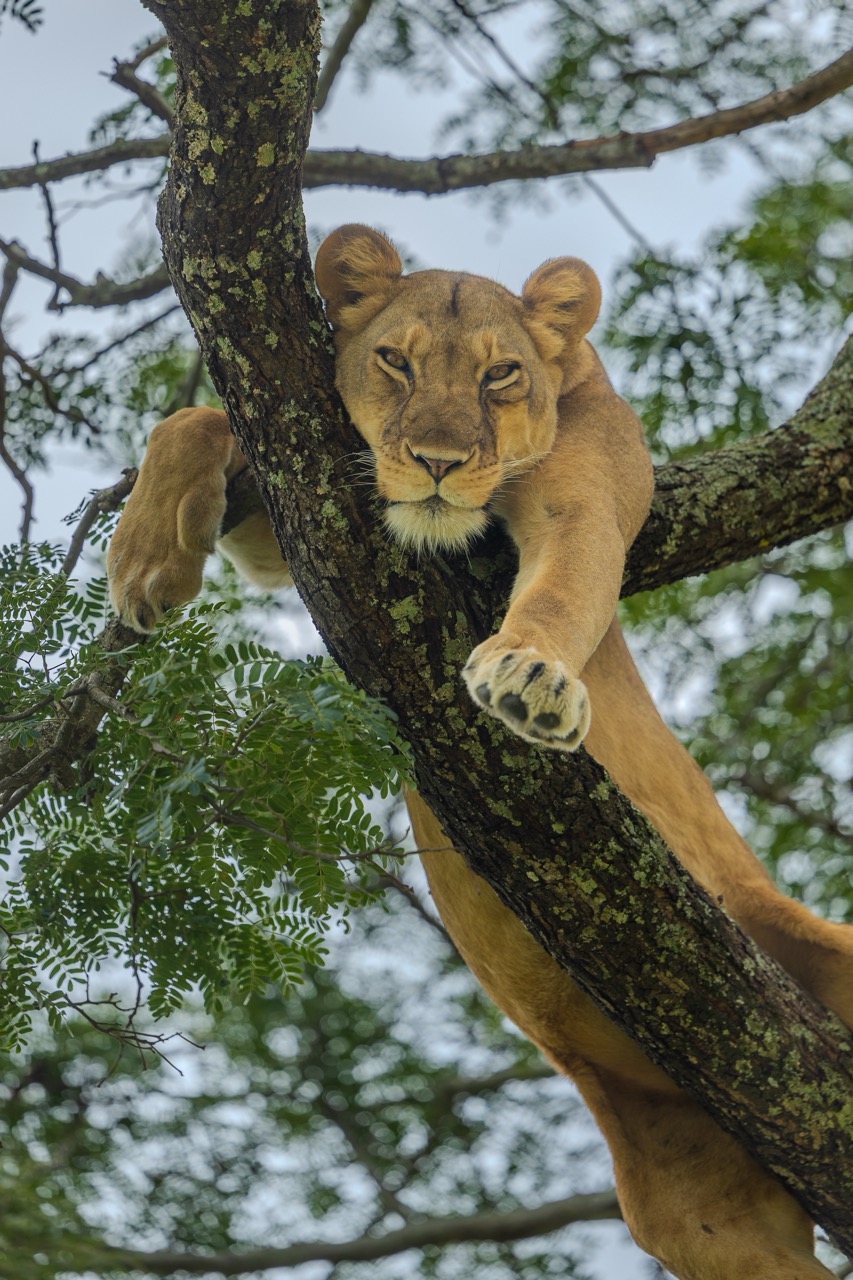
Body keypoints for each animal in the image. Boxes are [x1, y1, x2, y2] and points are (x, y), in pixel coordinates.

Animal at [107, 225, 853, 1280]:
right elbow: (198, 414)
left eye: (502, 374)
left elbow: (564, 585)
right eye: (394, 361)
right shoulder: (313, 516)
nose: (433, 461)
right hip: (701, 1218)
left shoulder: (592, 494)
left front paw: (530, 676)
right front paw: (144, 562)